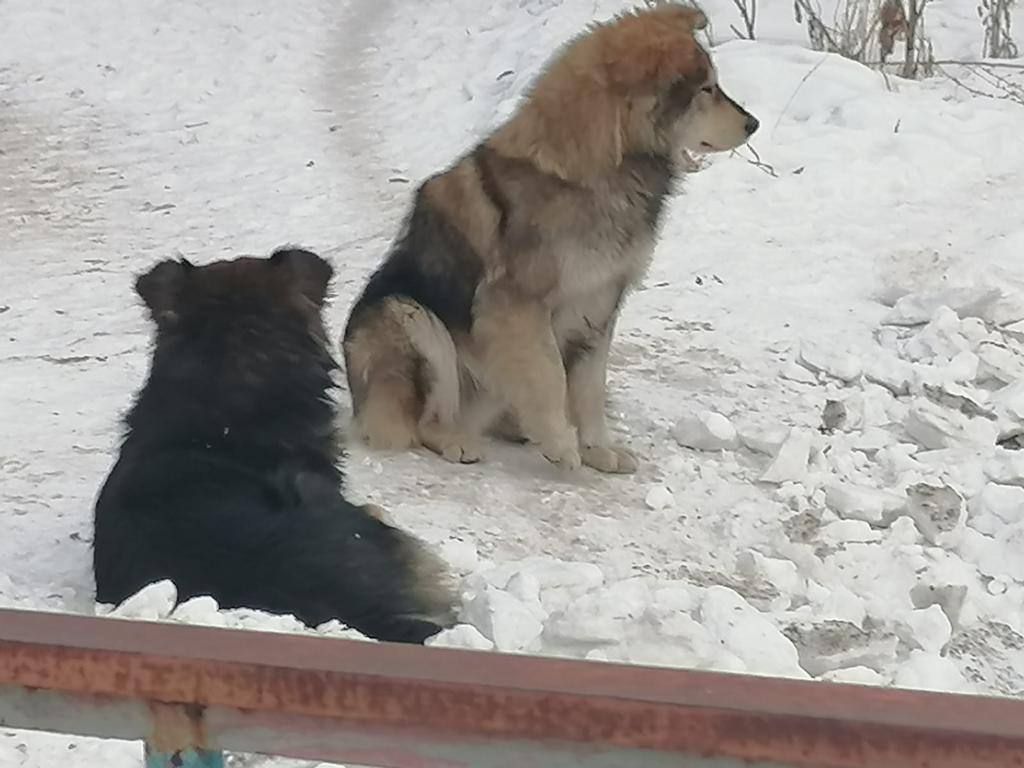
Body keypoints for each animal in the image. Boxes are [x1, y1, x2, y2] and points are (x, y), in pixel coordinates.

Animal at [339, 4, 757, 475]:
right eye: (707, 89)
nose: (753, 124)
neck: (604, 170)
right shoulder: (518, 306)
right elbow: (549, 376)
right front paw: (561, 444)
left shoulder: (601, 304)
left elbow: (590, 390)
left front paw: (598, 449)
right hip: (407, 314)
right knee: (425, 418)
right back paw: (457, 439)